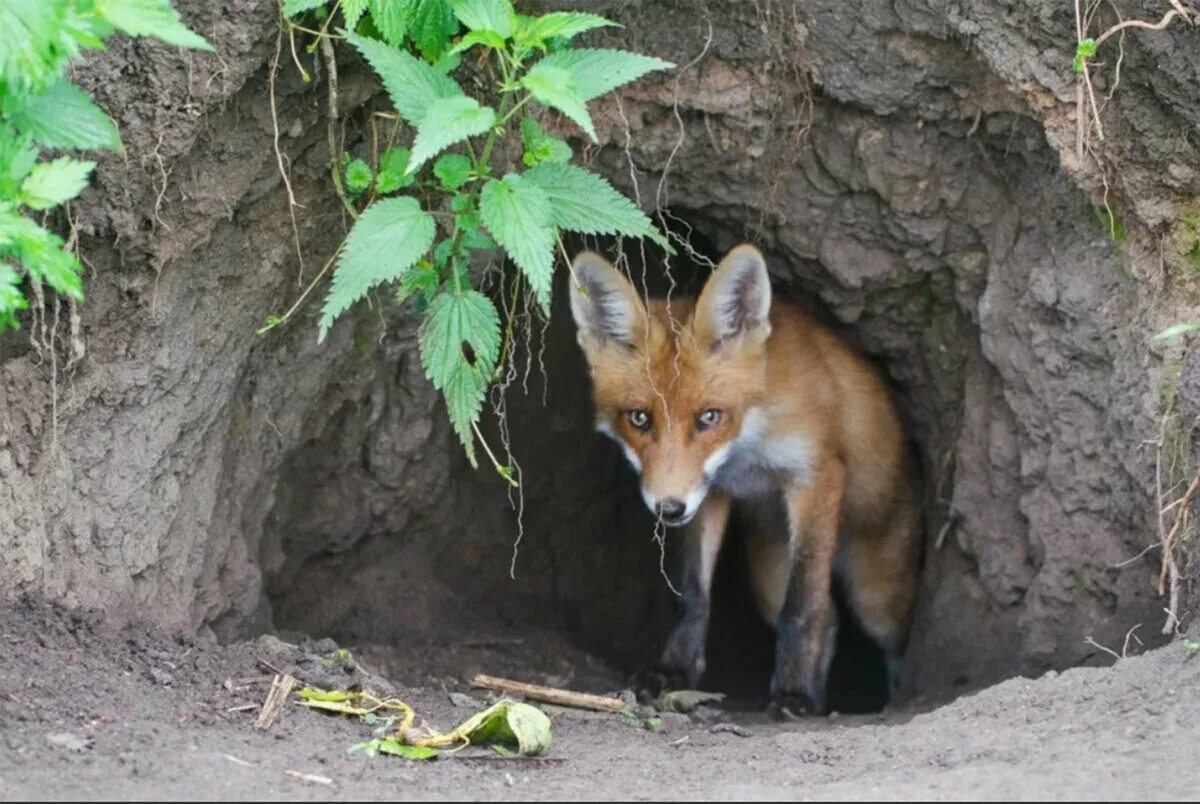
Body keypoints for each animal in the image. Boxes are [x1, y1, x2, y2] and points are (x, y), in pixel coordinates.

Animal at [566, 243, 921, 720]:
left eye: (709, 417)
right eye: (639, 418)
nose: (668, 508)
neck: (749, 445)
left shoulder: (816, 474)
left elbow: (802, 606)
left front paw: (793, 694)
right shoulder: (709, 491)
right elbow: (694, 595)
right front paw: (674, 671)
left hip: (877, 594)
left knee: (888, 637)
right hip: (769, 575)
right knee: (829, 618)